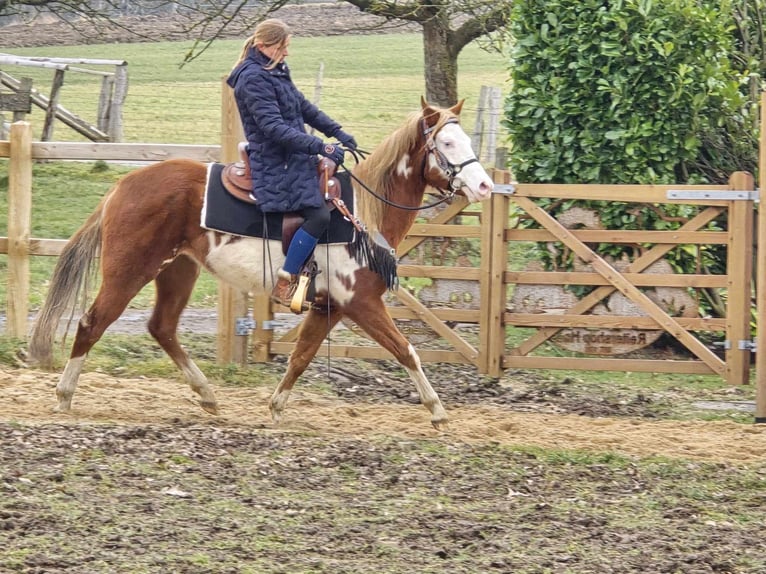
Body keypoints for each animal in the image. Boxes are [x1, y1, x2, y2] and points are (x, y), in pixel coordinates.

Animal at [27, 99, 496, 430]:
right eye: (447, 144)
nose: (484, 186)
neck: (360, 214)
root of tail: (123, 185)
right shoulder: (360, 302)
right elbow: (405, 349)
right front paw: (437, 411)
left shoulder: (329, 308)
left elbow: (302, 357)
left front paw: (275, 407)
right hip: (129, 272)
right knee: (92, 323)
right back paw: (64, 395)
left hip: (177, 270)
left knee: (162, 328)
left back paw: (207, 394)